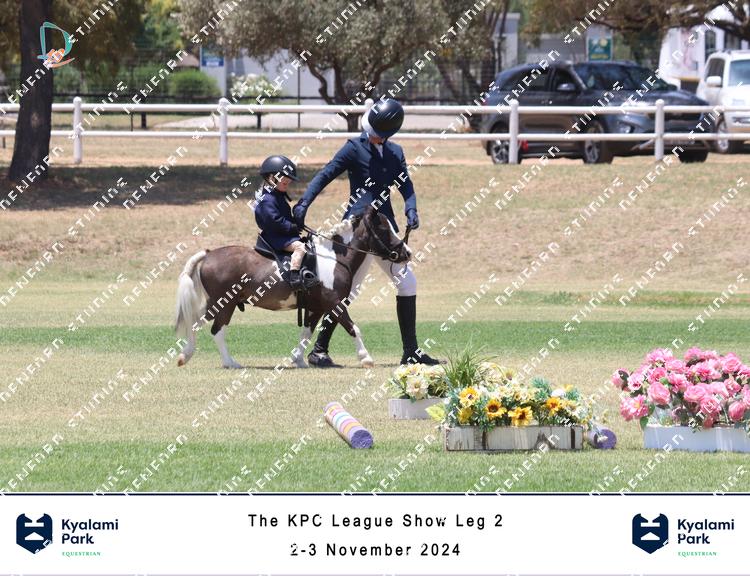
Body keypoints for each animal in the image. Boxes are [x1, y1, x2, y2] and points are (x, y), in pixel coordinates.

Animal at [174, 207, 411, 369]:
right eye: (384, 228)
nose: (406, 253)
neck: (334, 258)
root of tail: (209, 254)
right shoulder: (335, 304)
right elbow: (354, 328)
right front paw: (366, 358)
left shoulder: (316, 308)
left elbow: (306, 333)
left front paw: (298, 360)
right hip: (222, 303)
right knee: (208, 327)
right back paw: (219, 360)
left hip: (224, 304)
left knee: (208, 326)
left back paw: (207, 357)